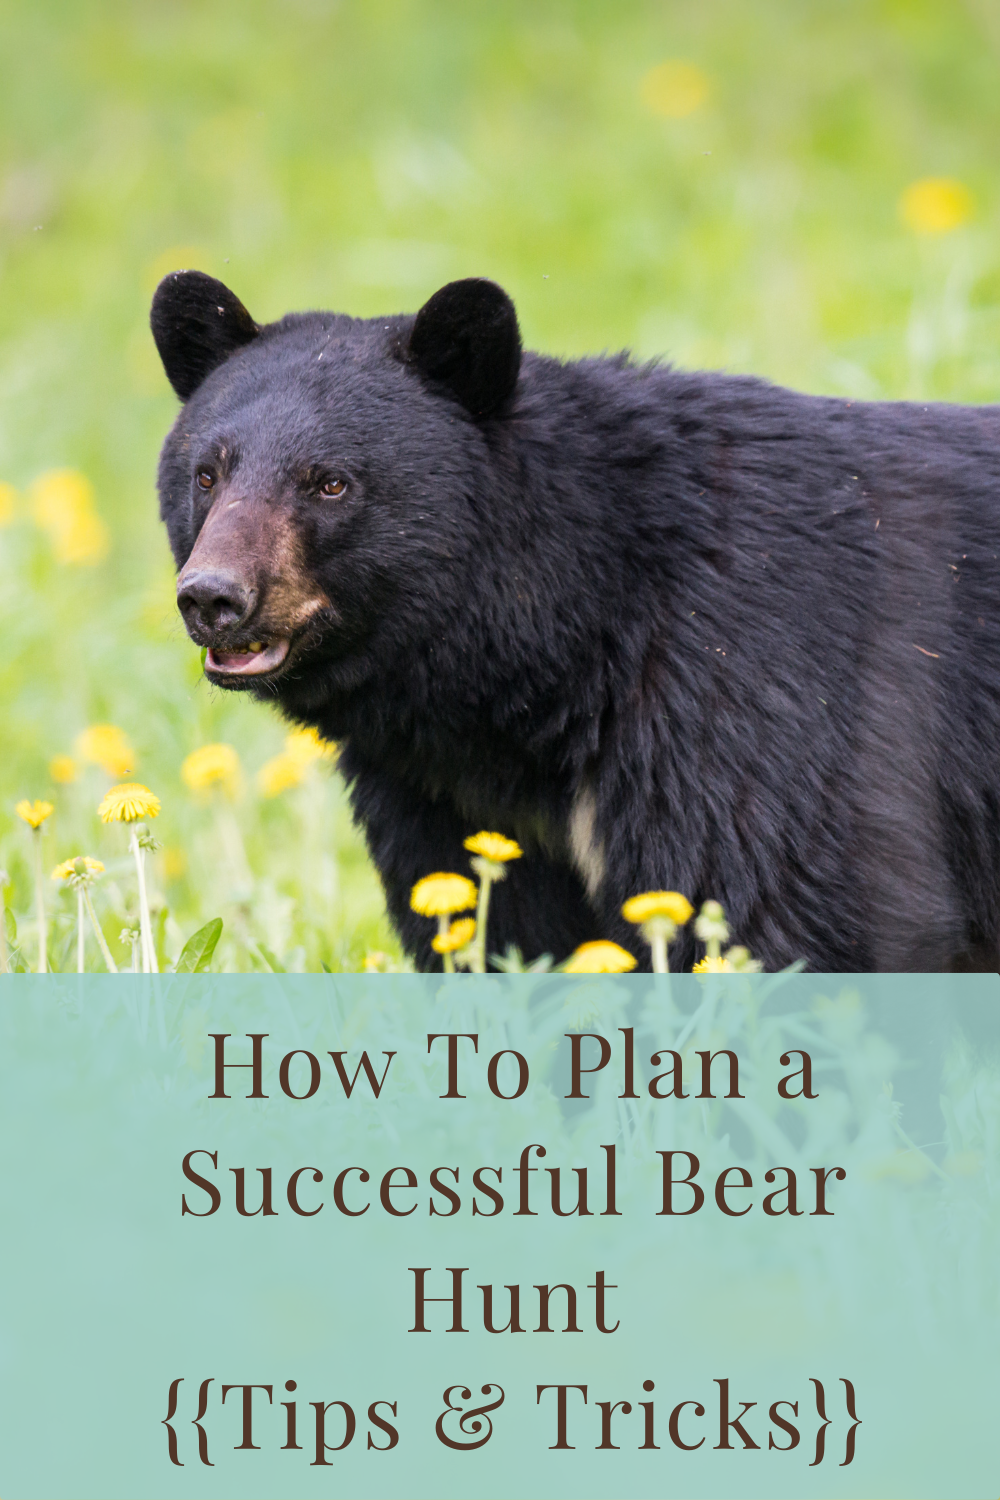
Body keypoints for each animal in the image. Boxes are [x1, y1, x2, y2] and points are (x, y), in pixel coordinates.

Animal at [151, 270, 1000, 973]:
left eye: (330, 483)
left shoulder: (755, 696)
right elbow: (500, 934)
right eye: (207, 472)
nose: (214, 596)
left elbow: (782, 913)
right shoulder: (456, 805)